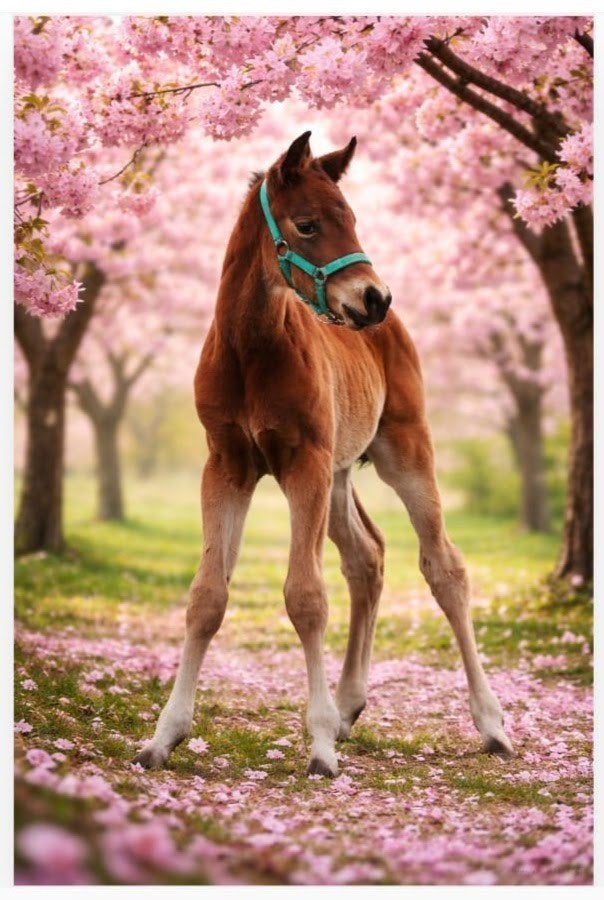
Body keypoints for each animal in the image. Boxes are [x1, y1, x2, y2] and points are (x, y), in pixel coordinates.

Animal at [134, 131, 513, 777]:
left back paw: (489, 721)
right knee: (367, 557)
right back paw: (347, 707)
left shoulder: (303, 463)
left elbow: (306, 597)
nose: (374, 297)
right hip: (337, 475)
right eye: (307, 224)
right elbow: (207, 596)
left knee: (444, 567)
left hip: (404, 451)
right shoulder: (227, 465)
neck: (251, 349)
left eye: (353, 219)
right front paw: (164, 736)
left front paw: (318, 749)